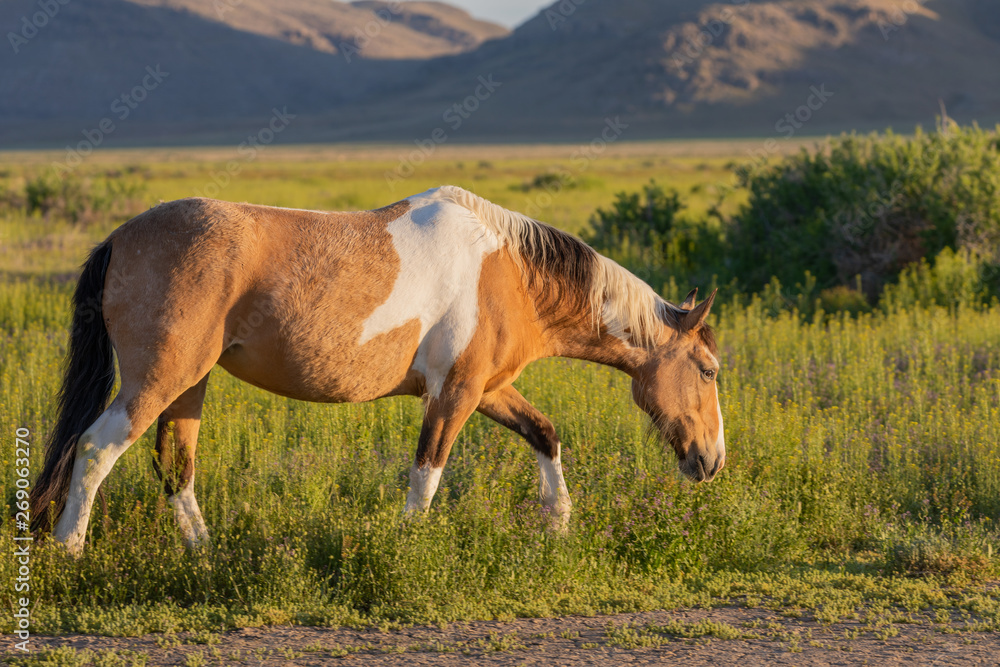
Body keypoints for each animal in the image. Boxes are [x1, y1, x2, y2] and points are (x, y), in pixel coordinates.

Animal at [30, 185, 725, 555]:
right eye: (710, 371)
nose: (712, 461)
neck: (507, 269)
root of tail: (120, 236)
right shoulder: (454, 394)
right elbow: (427, 475)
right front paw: (406, 551)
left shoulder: (489, 389)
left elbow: (545, 434)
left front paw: (557, 524)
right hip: (158, 380)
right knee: (96, 448)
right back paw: (70, 549)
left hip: (190, 384)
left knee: (175, 463)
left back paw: (204, 553)